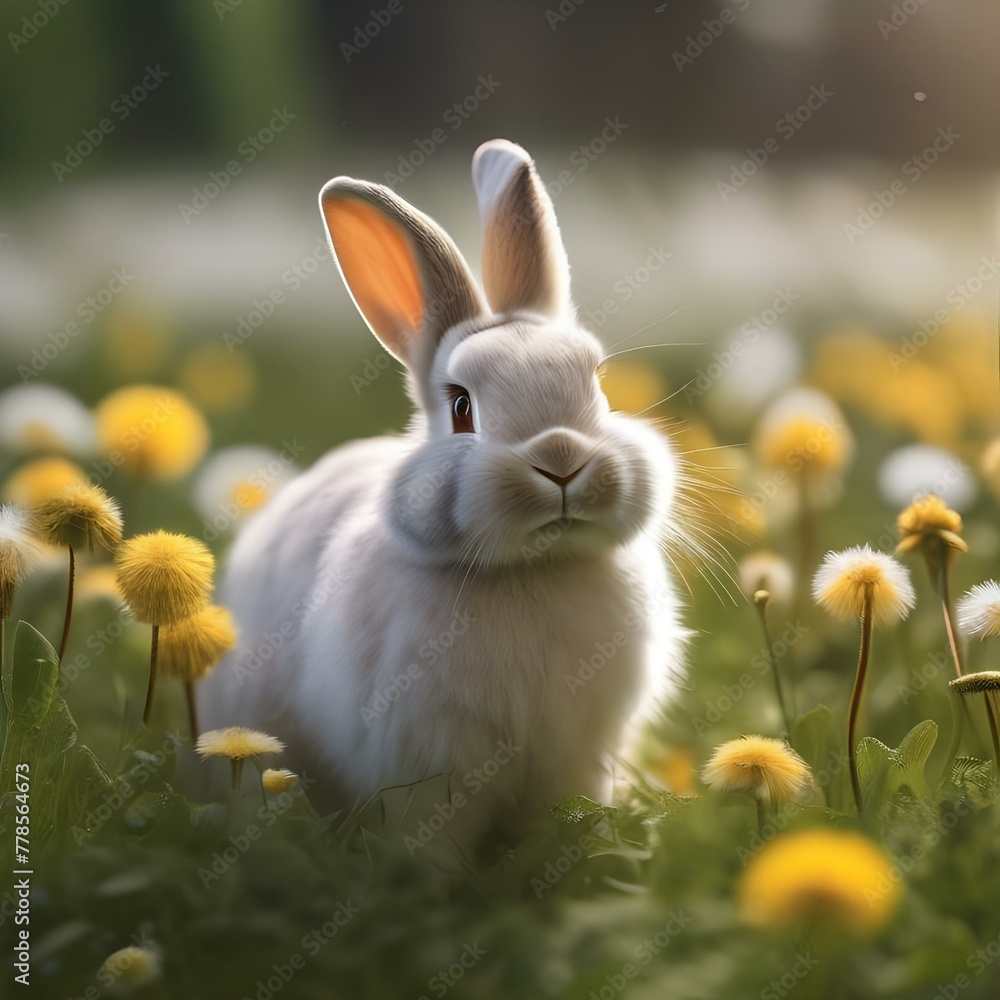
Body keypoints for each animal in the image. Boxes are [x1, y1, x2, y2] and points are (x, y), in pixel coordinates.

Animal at [199, 139, 685, 853]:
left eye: (597, 386)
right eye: (461, 408)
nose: (560, 460)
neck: (531, 572)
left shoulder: (577, 755)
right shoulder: (426, 760)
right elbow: (429, 836)